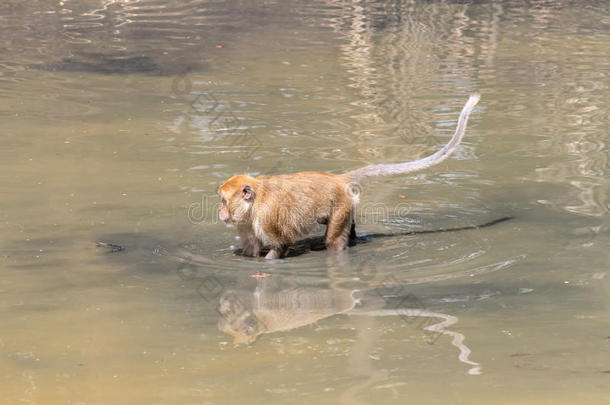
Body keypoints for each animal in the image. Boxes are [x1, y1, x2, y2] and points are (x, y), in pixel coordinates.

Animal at [218, 94, 480, 258]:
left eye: (222, 200)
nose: (219, 212)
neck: (254, 202)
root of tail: (336, 179)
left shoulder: (267, 217)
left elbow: (281, 244)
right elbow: (252, 249)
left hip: (341, 204)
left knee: (333, 242)